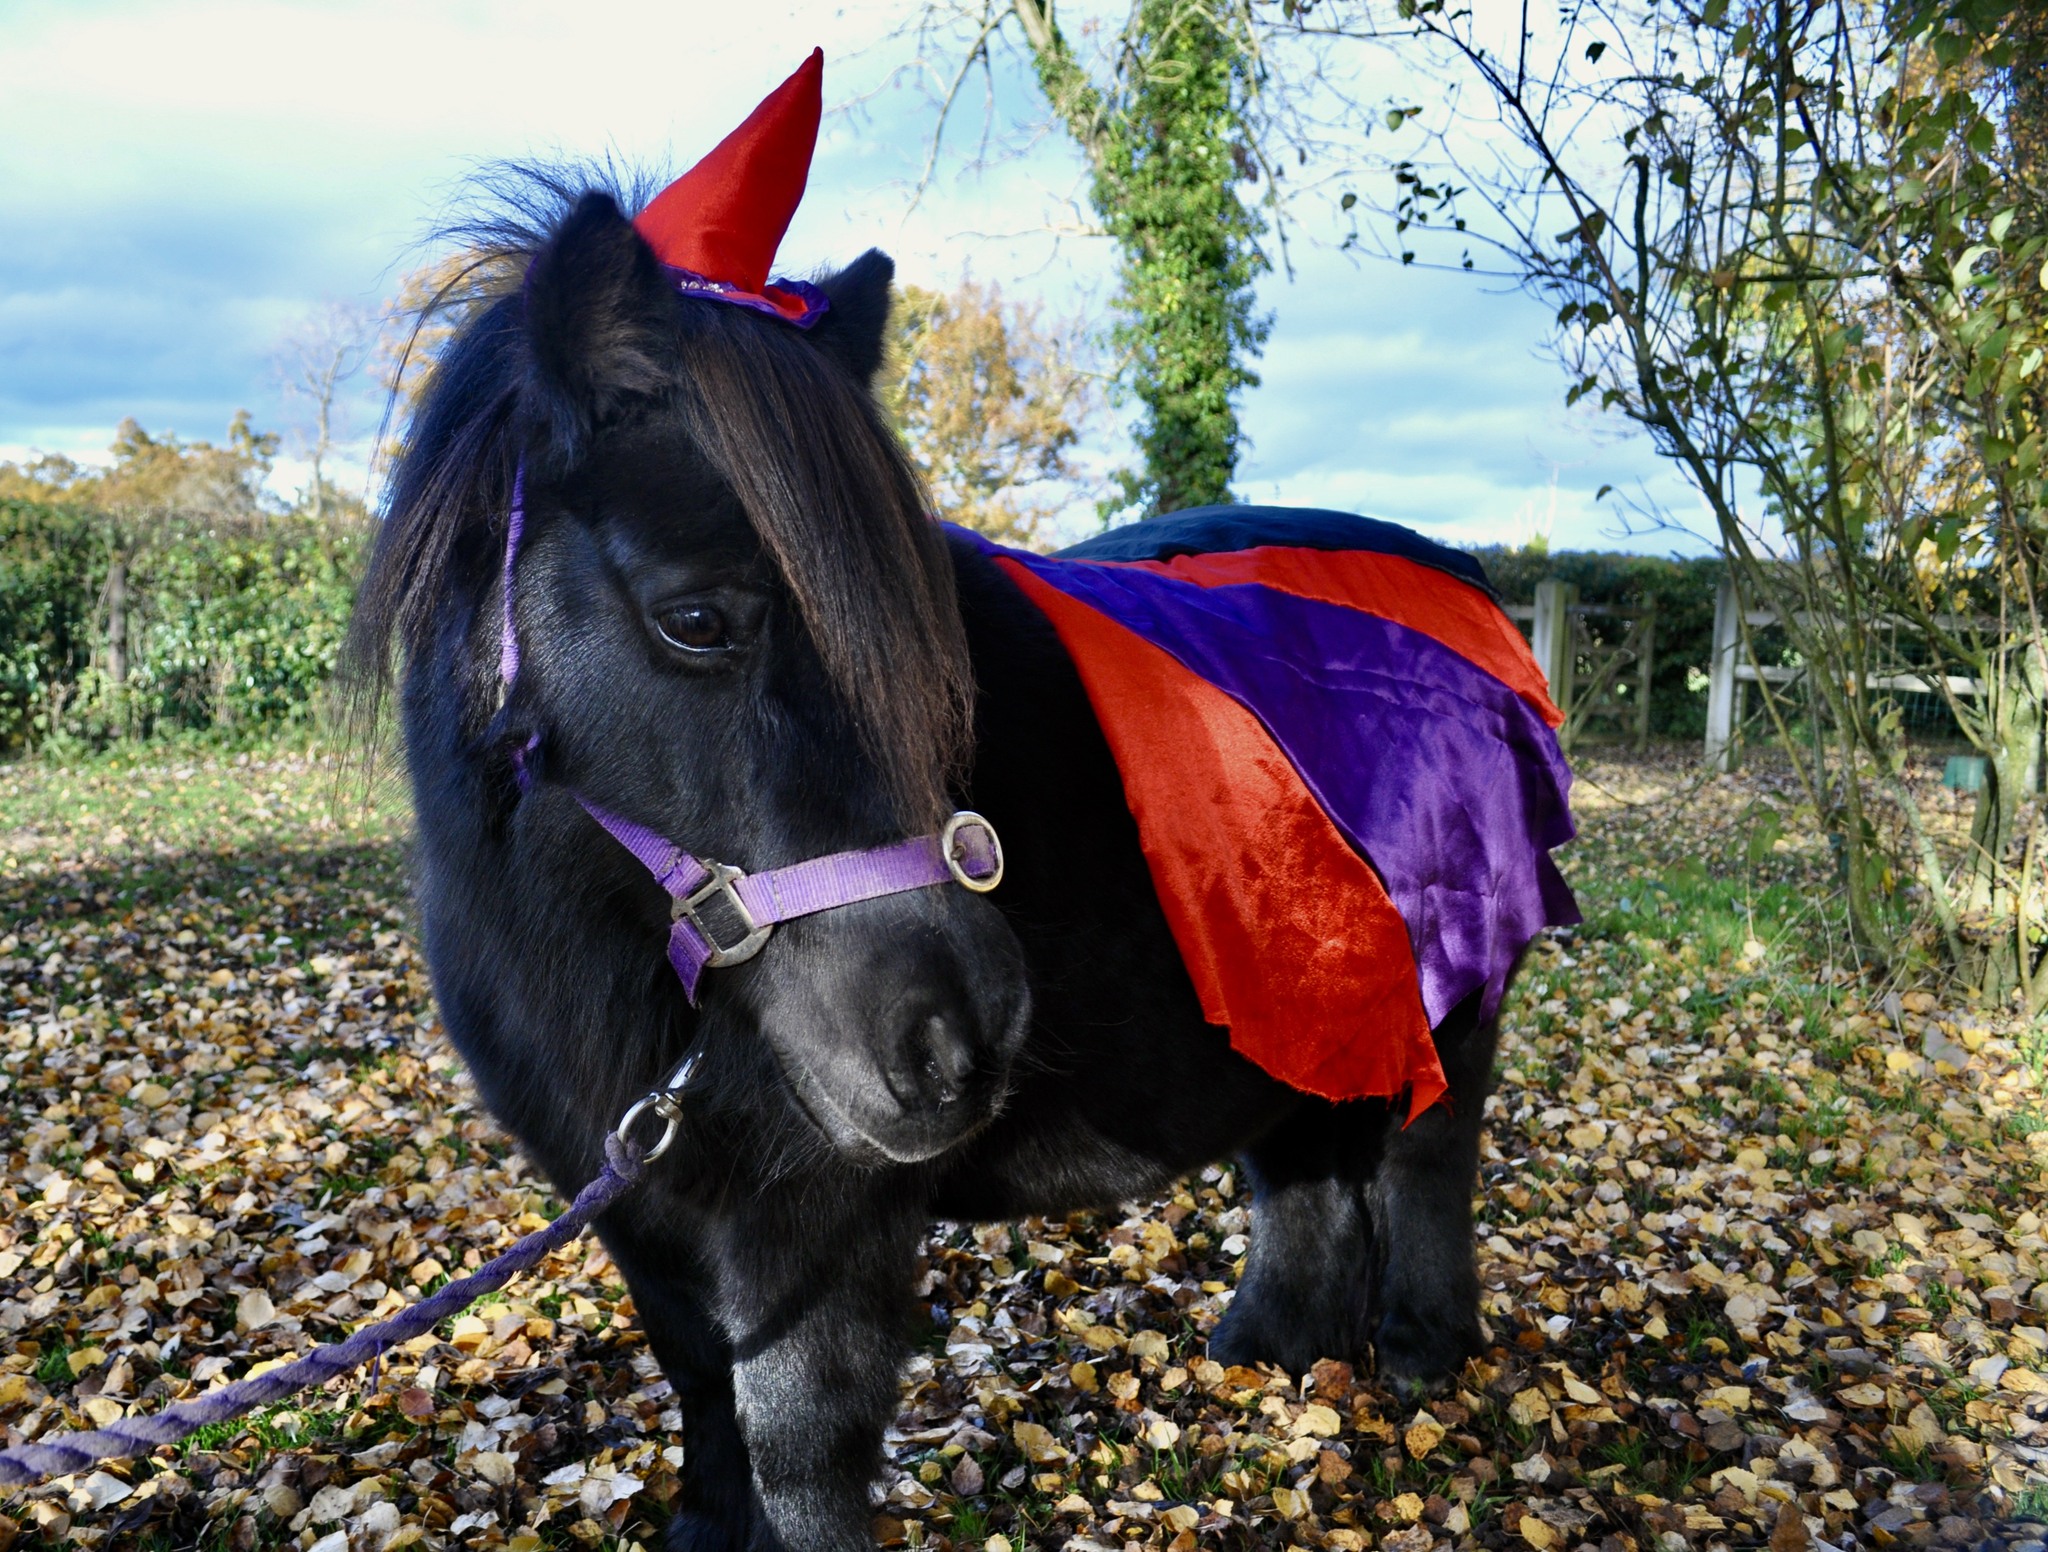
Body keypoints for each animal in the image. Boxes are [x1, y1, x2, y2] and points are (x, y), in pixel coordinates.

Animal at [348, 182, 1507, 1552]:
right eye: (696, 619)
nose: (960, 1035)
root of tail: (1464, 575)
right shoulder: (638, 1208)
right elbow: (699, 1387)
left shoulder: (815, 1226)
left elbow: (796, 1450)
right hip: (1295, 1006)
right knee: (1306, 1169)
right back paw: (1267, 1350)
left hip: (1453, 995)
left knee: (1428, 1153)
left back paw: (1423, 1347)